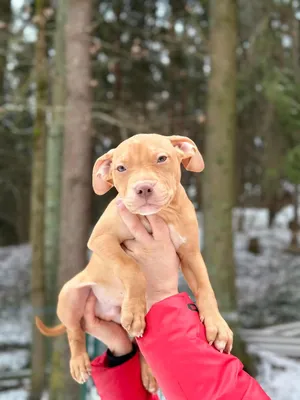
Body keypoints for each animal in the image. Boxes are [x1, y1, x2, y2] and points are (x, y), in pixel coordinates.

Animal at [36, 134, 233, 394]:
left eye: (161, 158)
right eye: (121, 168)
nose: (143, 187)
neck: (160, 215)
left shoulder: (191, 254)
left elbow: (205, 289)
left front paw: (218, 326)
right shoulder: (101, 239)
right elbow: (131, 268)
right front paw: (133, 309)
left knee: (140, 344)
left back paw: (149, 373)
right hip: (70, 295)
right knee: (74, 331)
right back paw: (79, 361)